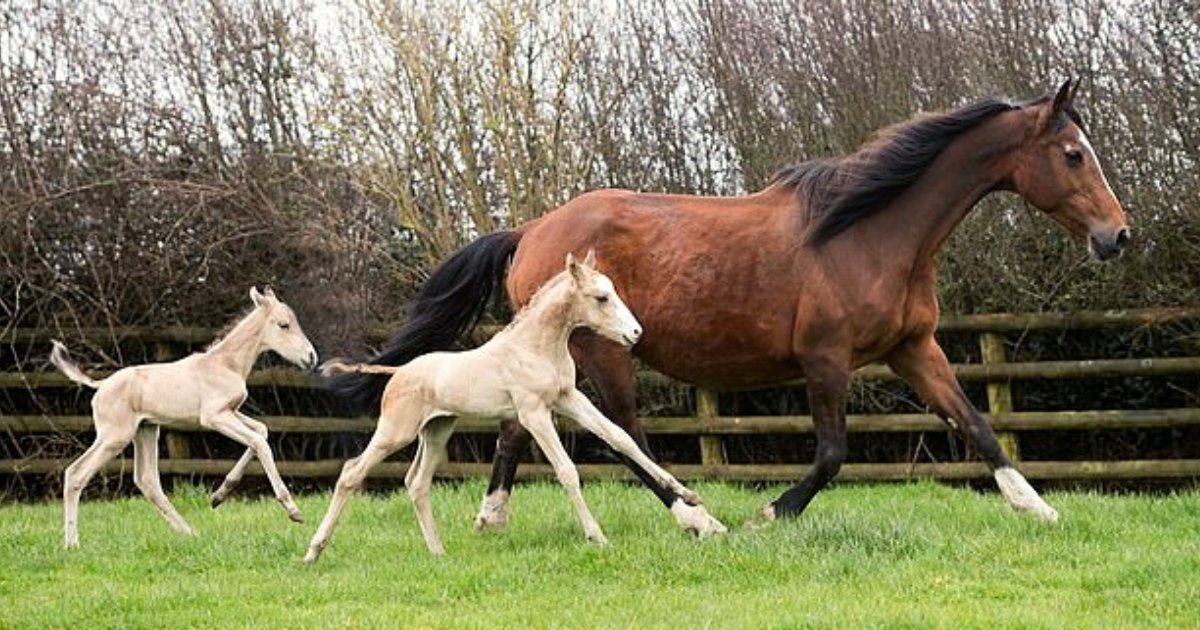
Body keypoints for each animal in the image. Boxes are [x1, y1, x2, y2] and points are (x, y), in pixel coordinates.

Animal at [50, 285, 319, 544]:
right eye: (284, 324)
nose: (311, 357)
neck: (226, 364)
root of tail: (100, 385)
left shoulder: (231, 411)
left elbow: (261, 431)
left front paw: (219, 495)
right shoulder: (214, 416)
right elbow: (260, 443)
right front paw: (293, 510)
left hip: (146, 430)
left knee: (148, 481)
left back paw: (189, 533)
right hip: (115, 437)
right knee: (75, 474)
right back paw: (72, 544)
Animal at [304, 252, 715, 559]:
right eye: (601, 298)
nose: (635, 333)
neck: (534, 347)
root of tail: (398, 372)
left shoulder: (568, 398)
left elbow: (620, 438)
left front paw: (689, 496)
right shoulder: (534, 413)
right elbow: (567, 470)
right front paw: (597, 536)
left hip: (437, 430)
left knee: (416, 483)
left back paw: (438, 552)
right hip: (396, 431)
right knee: (352, 472)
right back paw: (313, 551)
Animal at [333, 78, 1128, 530]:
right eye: (1073, 153)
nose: (1116, 236)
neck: (869, 232)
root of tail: (531, 230)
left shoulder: (914, 349)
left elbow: (978, 425)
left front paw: (1037, 507)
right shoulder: (825, 360)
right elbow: (833, 453)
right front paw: (771, 513)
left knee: (516, 430)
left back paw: (493, 516)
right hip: (599, 350)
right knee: (624, 434)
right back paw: (691, 514)